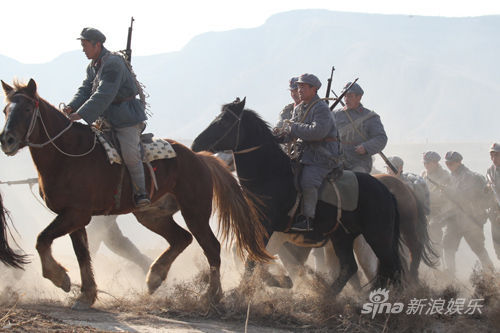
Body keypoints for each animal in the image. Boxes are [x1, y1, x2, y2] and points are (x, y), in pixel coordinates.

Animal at [0, 79, 272, 308]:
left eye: (27, 109)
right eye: (5, 110)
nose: (7, 140)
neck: (68, 154)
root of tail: (200, 158)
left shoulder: (76, 215)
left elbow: (42, 239)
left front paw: (60, 279)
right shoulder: (74, 217)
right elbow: (81, 254)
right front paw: (86, 294)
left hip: (195, 212)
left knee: (211, 247)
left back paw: (211, 296)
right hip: (152, 215)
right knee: (181, 238)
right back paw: (155, 277)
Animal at [192, 97, 406, 292]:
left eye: (224, 121)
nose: (195, 143)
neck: (270, 174)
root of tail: (385, 191)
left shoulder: (266, 227)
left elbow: (253, 258)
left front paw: (241, 291)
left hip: (378, 236)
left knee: (390, 268)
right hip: (342, 237)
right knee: (350, 268)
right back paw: (325, 297)